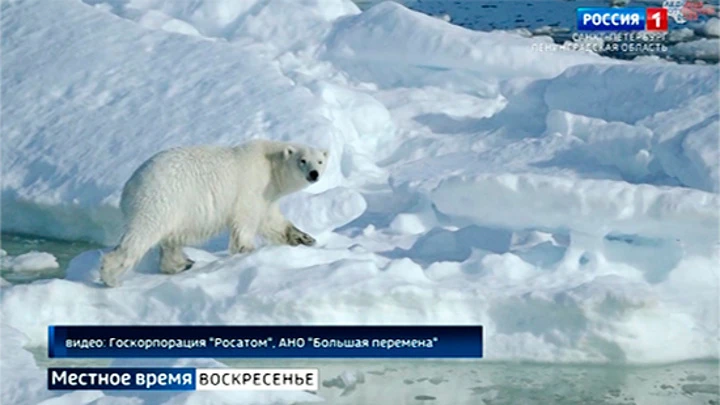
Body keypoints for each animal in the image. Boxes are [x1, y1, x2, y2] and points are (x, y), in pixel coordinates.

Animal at [99, 140, 330, 286]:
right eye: (302, 160)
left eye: (320, 161)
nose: (314, 174)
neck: (270, 164)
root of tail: (129, 185)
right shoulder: (251, 187)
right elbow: (246, 219)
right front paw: (247, 250)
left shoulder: (267, 195)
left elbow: (271, 221)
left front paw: (305, 239)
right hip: (160, 200)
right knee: (141, 235)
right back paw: (110, 277)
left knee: (170, 240)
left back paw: (183, 264)